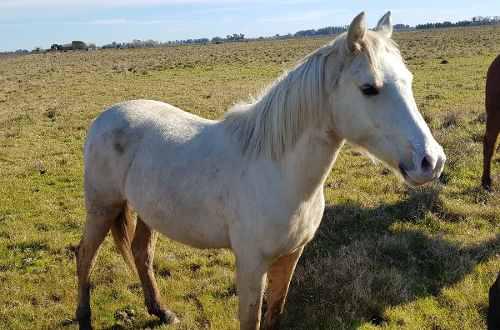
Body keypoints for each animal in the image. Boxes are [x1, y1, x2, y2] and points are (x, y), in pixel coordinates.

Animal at [77, 11, 446, 330]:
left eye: (409, 81)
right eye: (369, 88)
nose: (431, 161)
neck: (281, 175)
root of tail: (106, 115)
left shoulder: (292, 255)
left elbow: (275, 312)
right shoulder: (252, 264)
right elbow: (251, 319)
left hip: (146, 212)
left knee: (141, 253)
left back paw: (161, 311)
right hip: (102, 206)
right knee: (85, 257)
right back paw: (85, 319)